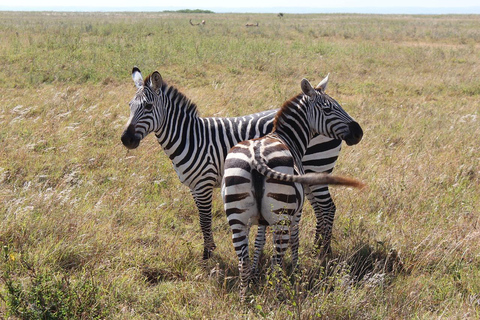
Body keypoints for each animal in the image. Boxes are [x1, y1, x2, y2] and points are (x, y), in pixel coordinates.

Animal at [121, 67, 364, 260]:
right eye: (130, 105)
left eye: (148, 106)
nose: (126, 139)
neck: (191, 137)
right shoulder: (193, 186)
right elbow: (202, 219)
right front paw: (210, 250)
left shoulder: (203, 184)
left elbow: (204, 220)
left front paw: (207, 255)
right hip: (308, 174)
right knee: (321, 209)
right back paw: (316, 248)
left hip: (317, 165)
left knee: (327, 207)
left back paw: (324, 252)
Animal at [222, 77, 364, 298]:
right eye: (328, 109)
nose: (359, 132)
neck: (286, 138)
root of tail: (256, 156)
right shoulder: (296, 212)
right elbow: (295, 240)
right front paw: (296, 269)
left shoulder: (263, 219)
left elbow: (259, 241)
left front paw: (255, 273)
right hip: (281, 215)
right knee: (278, 258)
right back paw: (280, 292)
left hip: (236, 216)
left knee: (242, 261)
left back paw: (245, 297)